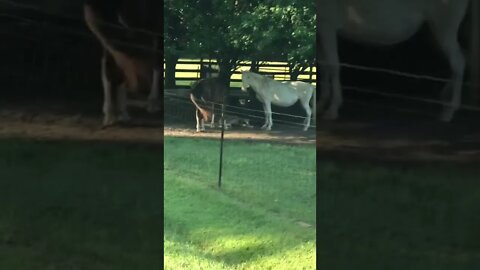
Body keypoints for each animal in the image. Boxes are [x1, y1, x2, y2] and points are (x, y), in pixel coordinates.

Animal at [316, 0, 470, 121]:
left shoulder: (327, 24)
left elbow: (333, 65)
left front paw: (332, 109)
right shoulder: (320, 30)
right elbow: (323, 66)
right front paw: (320, 105)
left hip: (444, 27)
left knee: (458, 62)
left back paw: (449, 111)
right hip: (434, 30)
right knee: (460, 59)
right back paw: (445, 94)